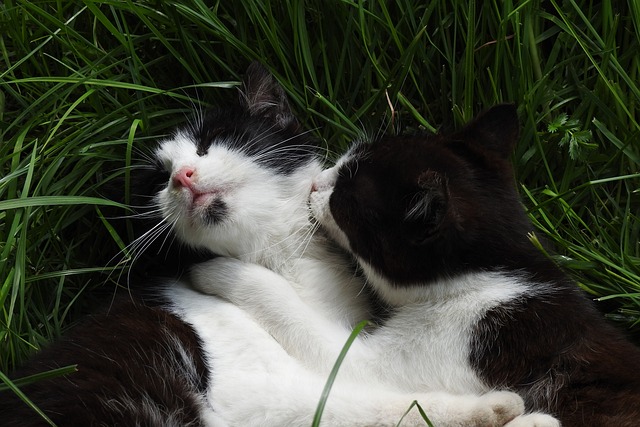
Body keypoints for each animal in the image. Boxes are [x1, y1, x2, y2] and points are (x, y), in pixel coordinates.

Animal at [2, 63, 528, 427]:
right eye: (155, 181)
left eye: (213, 139)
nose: (181, 176)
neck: (282, 262)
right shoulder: (262, 393)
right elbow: (367, 404)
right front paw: (504, 410)